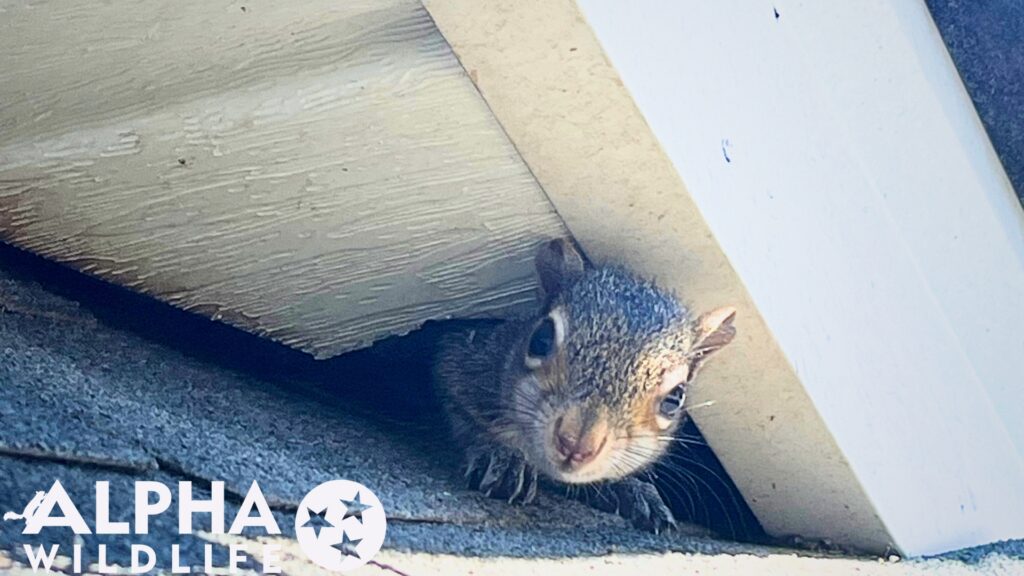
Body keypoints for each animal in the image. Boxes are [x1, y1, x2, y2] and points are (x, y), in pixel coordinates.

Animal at [433, 238, 737, 532]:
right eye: (540, 339)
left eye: (675, 397)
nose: (576, 443)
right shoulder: (461, 360)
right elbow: (461, 413)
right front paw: (502, 454)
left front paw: (631, 489)